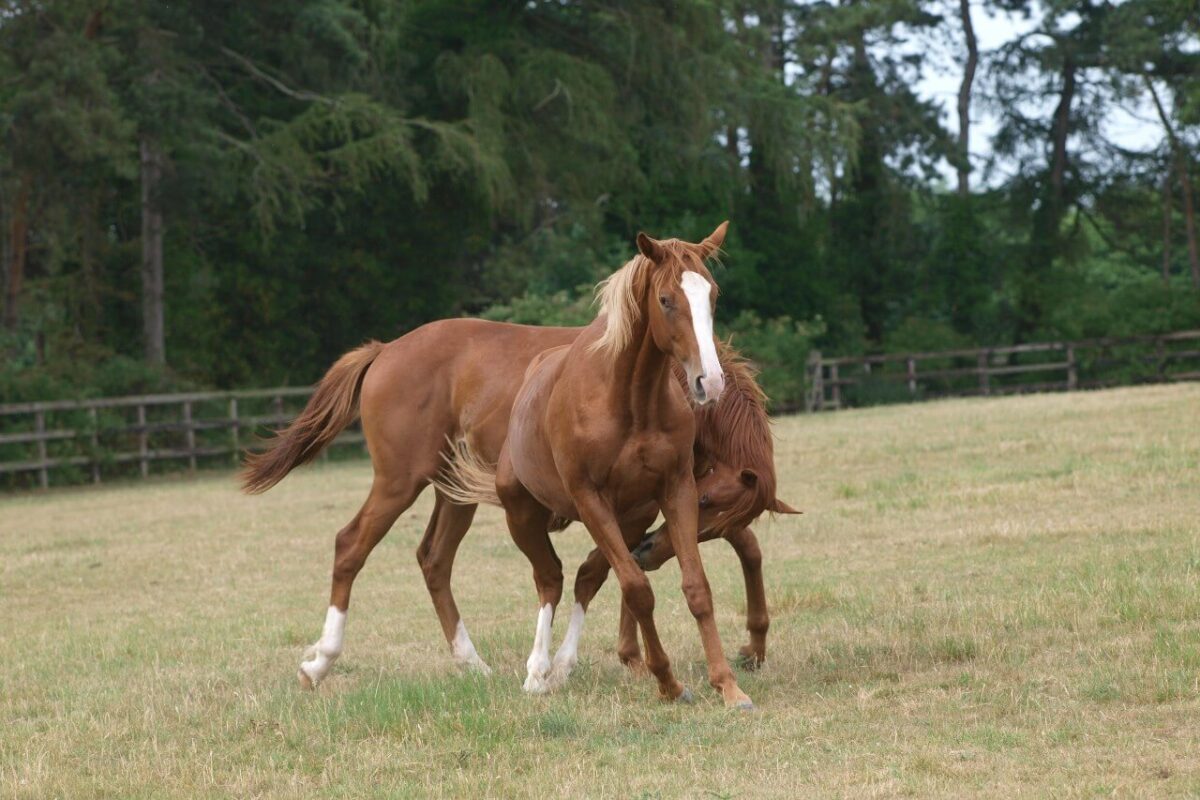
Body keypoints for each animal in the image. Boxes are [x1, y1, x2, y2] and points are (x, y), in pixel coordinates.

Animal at [441, 223, 756, 708]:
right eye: (666, 299)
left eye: (713, 295)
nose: (710, 381)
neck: (629, 400)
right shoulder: (590, 500)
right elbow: (638, 590)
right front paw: (668, 682)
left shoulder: (676, 490)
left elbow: (696, 588)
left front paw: (727, 685)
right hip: (522, 516)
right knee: (549, 579)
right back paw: (538, 671)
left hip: (629, 518)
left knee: (585, 577)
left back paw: (562, 666)